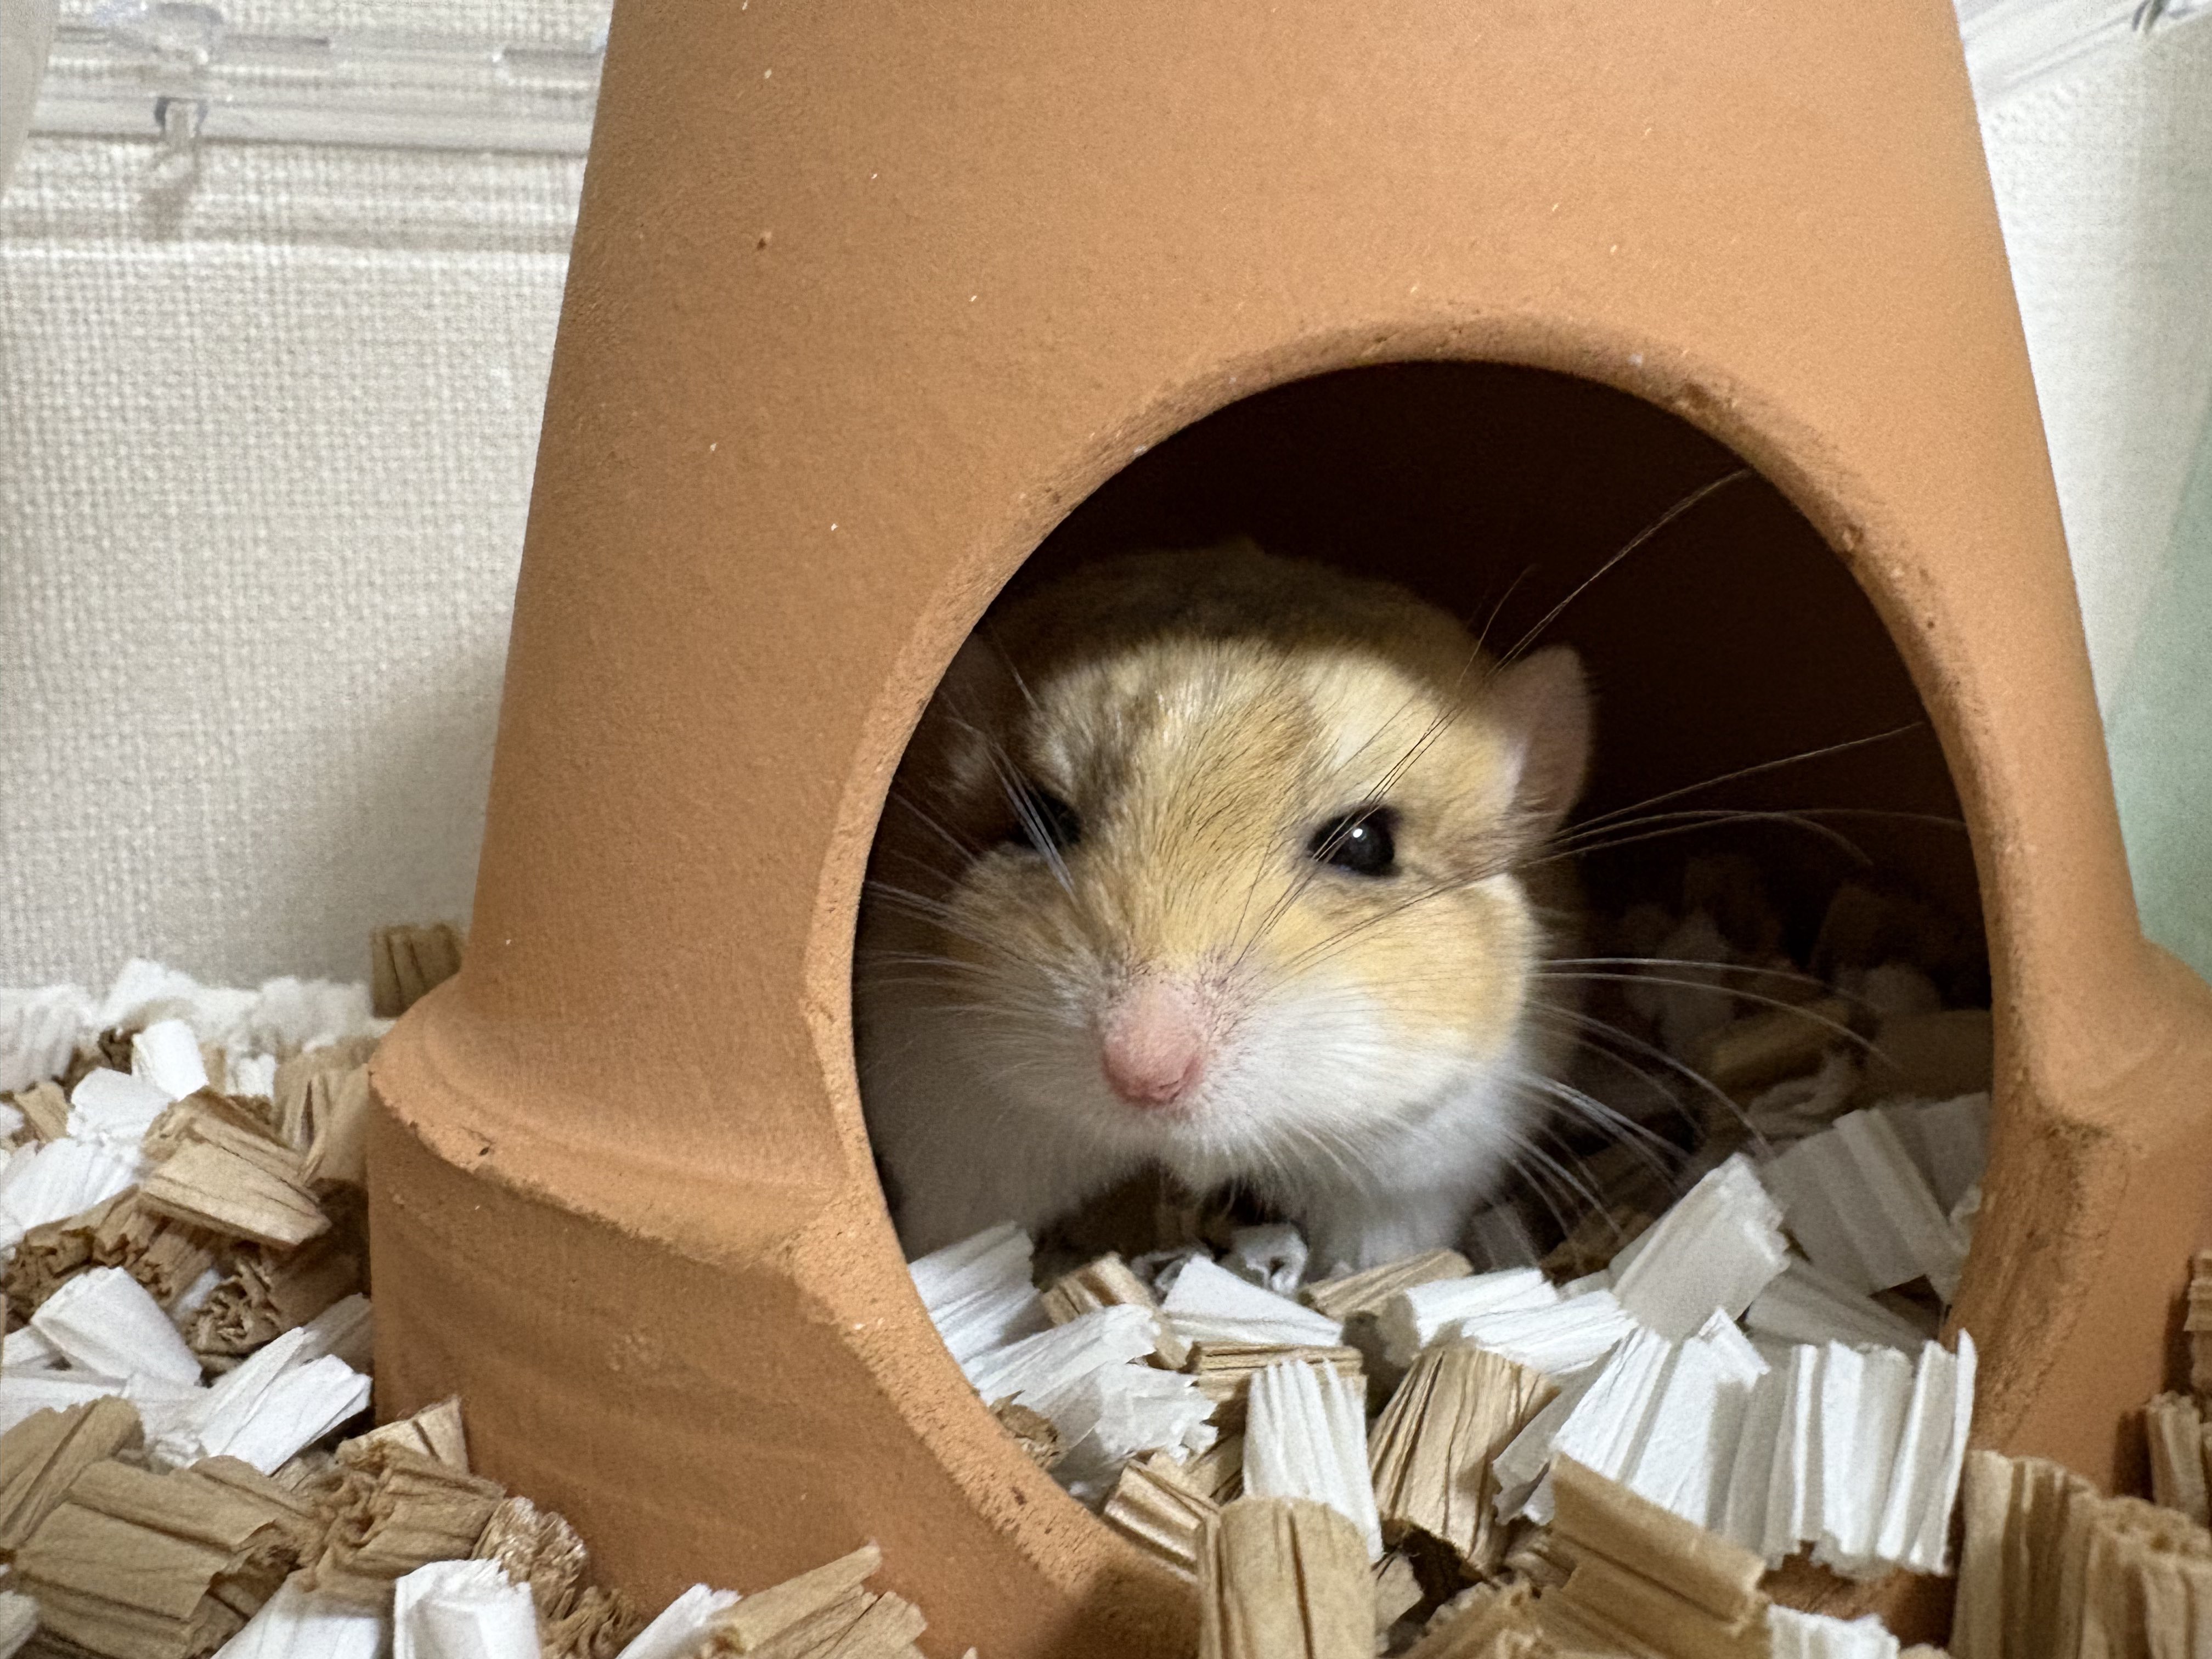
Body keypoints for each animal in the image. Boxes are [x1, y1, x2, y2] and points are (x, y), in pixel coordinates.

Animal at [855, 542, 1592, 1273]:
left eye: (1366, 845)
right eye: (1044, 819)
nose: (1145, 1077)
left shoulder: (1411, 1185)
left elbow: (1374, 1258)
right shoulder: (959, 1148)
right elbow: (954, 1241)